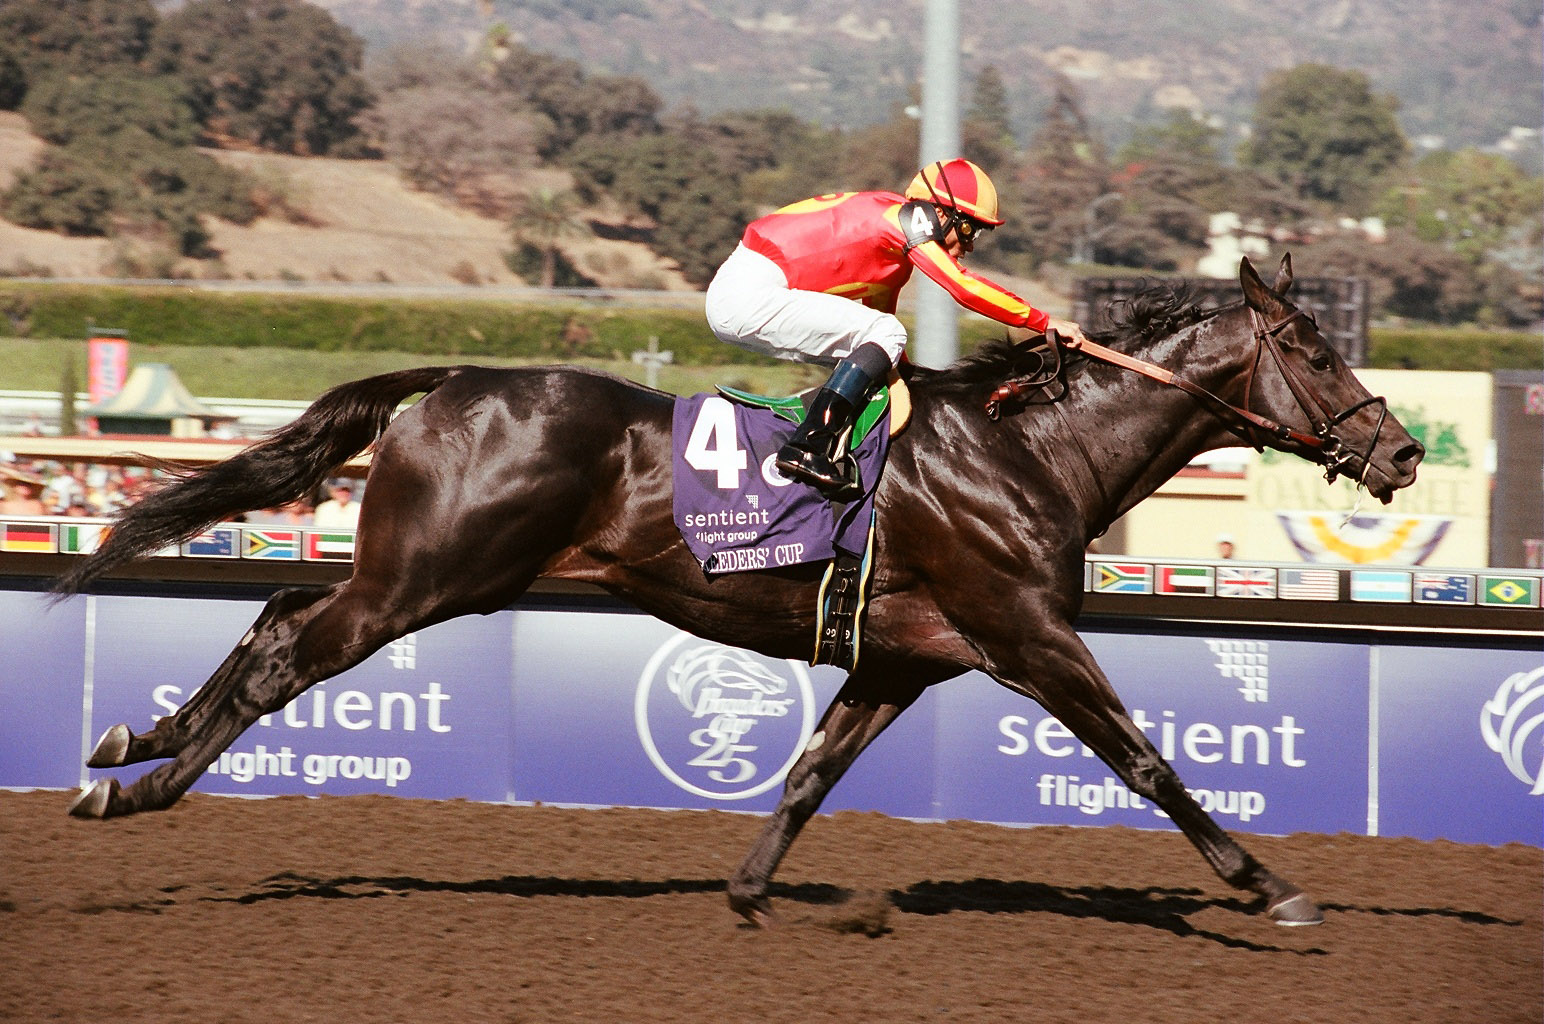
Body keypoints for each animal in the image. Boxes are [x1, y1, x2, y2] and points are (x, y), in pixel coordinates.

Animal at [54, 256, 1420, 926]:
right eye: (1312, 351)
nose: (1401, 451)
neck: (1031, 448)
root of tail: (451, 379)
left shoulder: (900, 655)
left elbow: (811, 773)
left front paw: (754, 892)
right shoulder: (1024, 632)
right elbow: (1145, 760)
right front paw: (1269, 887)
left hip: (408, 569)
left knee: (273, 620)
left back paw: (132, 743)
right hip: (433, 576)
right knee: (288, 654)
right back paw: (143, 785)